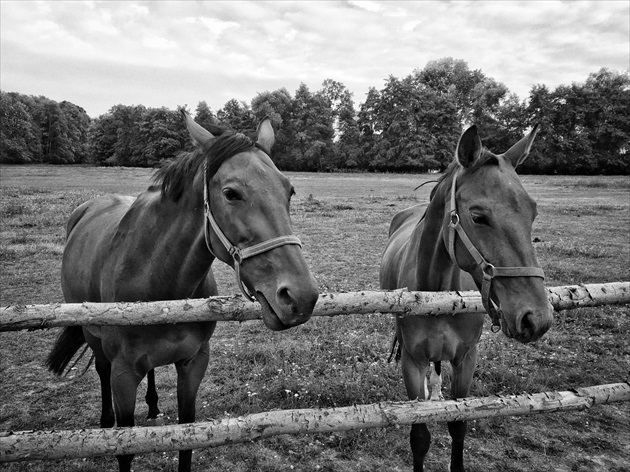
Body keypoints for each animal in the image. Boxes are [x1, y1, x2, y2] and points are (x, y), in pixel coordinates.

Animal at [46, 111, 318, 472]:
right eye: (231, 193)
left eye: (289, 191)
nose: (301, 296)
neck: (159, 280)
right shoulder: (123, 375)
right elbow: (125, 447)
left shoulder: (193, 362)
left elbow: (187, 435)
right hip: (94, 337)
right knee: (101, 372)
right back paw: (105, 424)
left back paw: (152, 405)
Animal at [380, 123, 552, 470]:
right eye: (478, 216)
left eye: (532, 212)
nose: (536, 318)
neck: (436, 295)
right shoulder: (412, 363)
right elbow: (419, 437)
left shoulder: (465, 360)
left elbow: (459, 424)